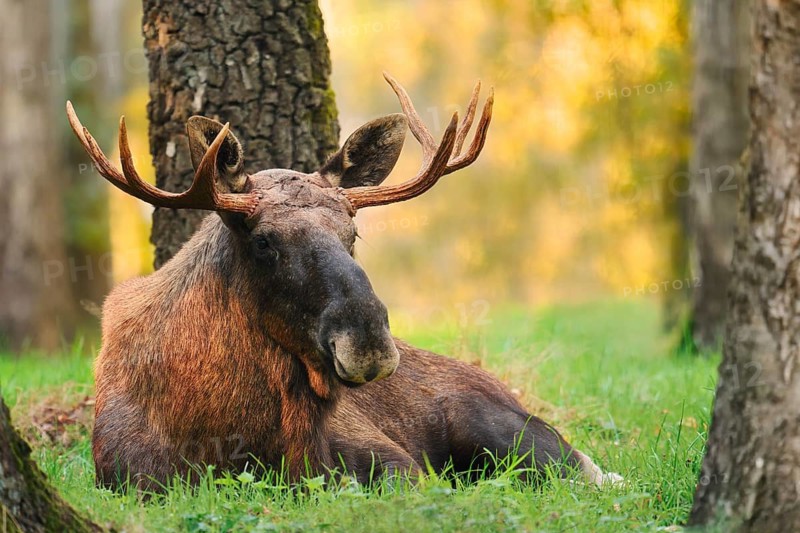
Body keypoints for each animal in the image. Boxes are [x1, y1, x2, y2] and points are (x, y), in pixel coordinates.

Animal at [67, 73, 621, 492]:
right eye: (263, 241)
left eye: (352, 233)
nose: (367, 341)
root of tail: (509, 391)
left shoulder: (393, 463)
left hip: (507, 433)